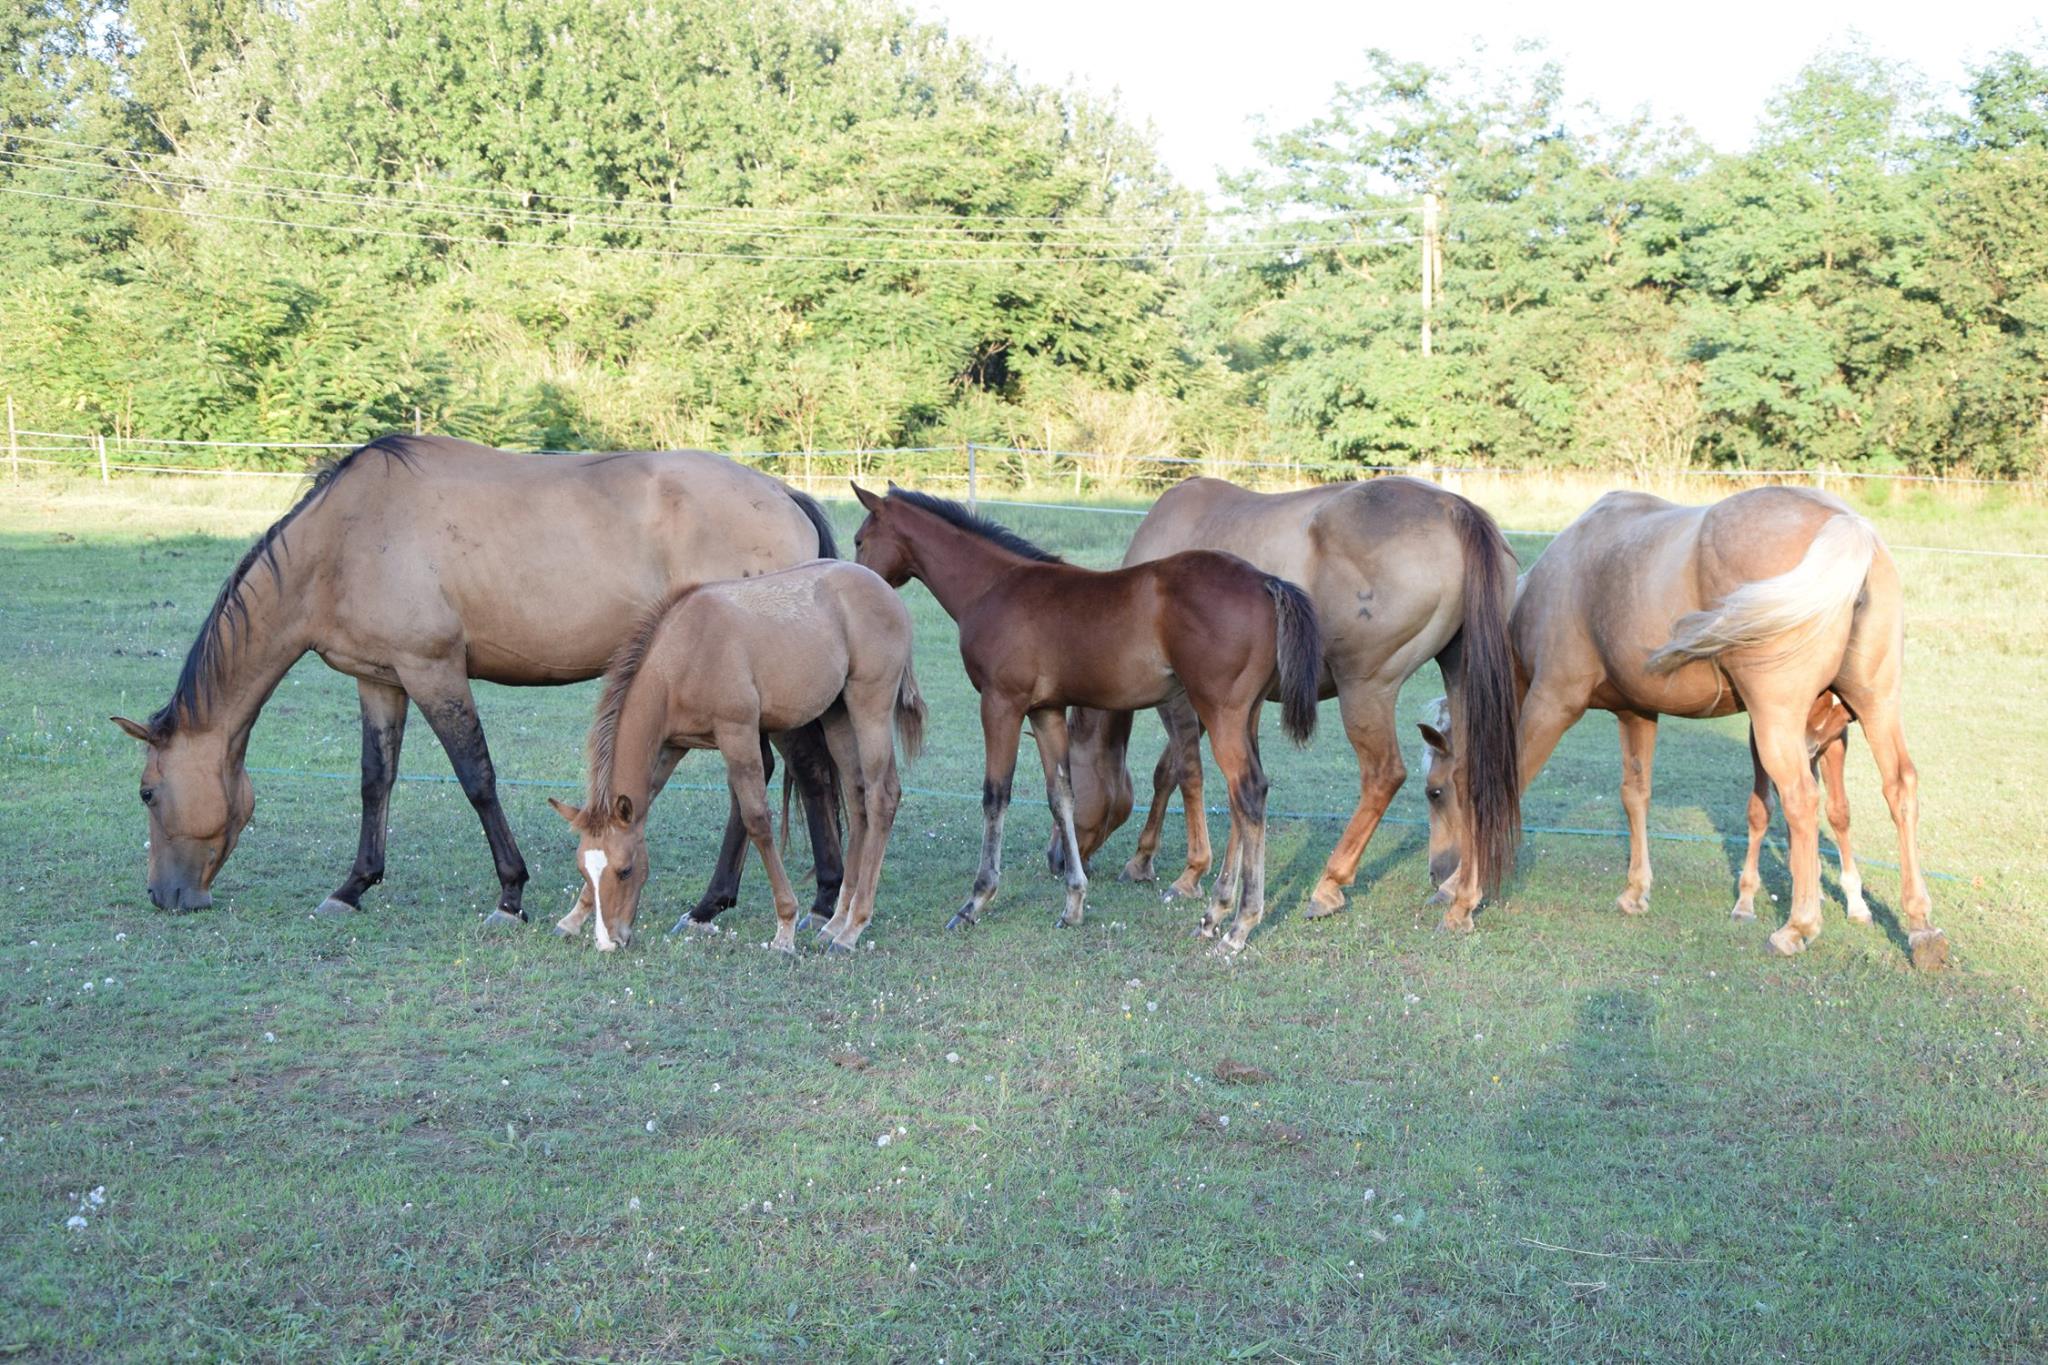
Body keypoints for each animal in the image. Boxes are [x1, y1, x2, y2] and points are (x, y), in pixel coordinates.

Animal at [110, 435, 845, 927]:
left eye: (147, 793)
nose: (164, 896)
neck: (344, 540)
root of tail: (785, 494)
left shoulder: (433, 670)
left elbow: (477, 777)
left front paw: (510, 894)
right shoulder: (382, 680)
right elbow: (376, 780)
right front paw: (353, 886)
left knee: (800, 771)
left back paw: (811, 898)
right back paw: (716, 903)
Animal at [548, 560, 923, 953]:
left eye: (625, 870)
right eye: (584, 870)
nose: (610, 941)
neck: (684, 655)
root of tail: (883, 588)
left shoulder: (738, 733)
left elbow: (757, 819)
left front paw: (785, 927)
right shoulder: (671, 746)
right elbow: (644, 802)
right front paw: (573, 917)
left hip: (870, 707)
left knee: (882, 796)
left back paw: (853, 927)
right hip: (837, 714)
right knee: (857, 794)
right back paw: (836, 922)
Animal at [850, 483, 1323, 953]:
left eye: (859, 539)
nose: (860, 581)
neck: (991, 587)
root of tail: (1265, 582)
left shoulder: (1001, 703)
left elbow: (995, 795)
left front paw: (975, 901)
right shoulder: (1045, 711)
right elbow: (1061, 796)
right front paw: (1074, 902)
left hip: (1219, 711)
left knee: (1248, 793)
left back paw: (1239, 923)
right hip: (1246, 716)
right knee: (1243, 797)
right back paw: (1216, 914)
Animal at [1049, 475, 1522, 930]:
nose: (1056, 859)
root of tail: (1455, 509)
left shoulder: (1182, 700)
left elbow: (1184, 773)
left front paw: (1188, 873)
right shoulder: (1220, 703)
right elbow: (1179, 774)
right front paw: (1149, 860)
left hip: (1366, 689)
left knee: (1383, 775)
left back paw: (1330, 885)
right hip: (1461, 676)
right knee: (1470, 772)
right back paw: (1460, 897)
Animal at [1417, 487, 1945, 969]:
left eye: (1435, 792)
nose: (1435, 873)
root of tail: (1843, 522)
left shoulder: (1552, 703)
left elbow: (1500, 787)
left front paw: (1462, 898)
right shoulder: (1636, 713)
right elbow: (1635, 795)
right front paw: (1635, 891)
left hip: (1777, 722)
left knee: (1800, 799)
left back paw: (1798, 926)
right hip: (1875, 705)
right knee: (1899, 787)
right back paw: (1920, 927)